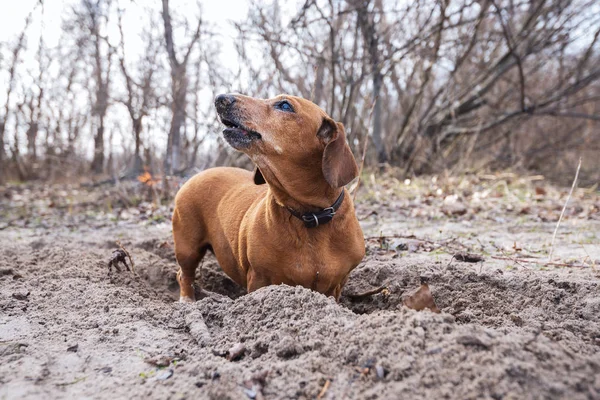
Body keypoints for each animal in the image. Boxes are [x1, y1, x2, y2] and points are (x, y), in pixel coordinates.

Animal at [171, 93, 364, 300]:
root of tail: (196, 175)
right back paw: (187, 300)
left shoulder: (336, 285)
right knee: (184, 274)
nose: (221, 98)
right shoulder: (259, 279)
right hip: (187, 247)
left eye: (285, 105)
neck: (310, 217)